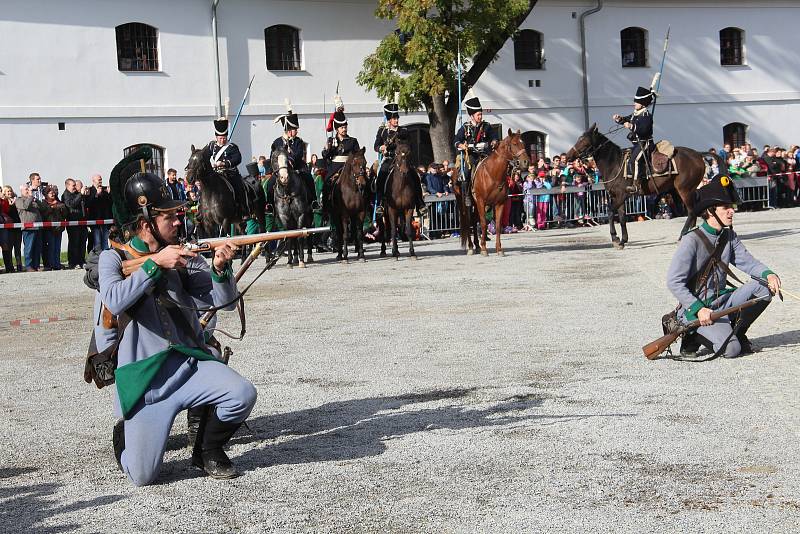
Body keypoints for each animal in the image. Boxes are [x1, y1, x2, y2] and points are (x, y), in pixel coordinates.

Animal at [564, 124, 708, 249]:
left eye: (584, 140)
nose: (568, 156)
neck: (614, 164)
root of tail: (698, 156)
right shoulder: (618, 197)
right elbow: (622, 218)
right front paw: (623, 240)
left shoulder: (621, 196)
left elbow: (610, 212)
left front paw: (615, 238)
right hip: (682, 191)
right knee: (693, 212)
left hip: (684, 190)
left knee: (691, 212)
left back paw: (682, 235)